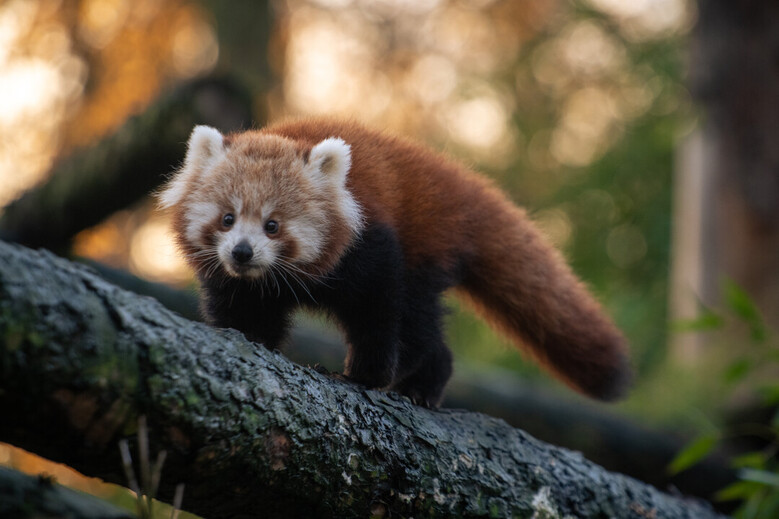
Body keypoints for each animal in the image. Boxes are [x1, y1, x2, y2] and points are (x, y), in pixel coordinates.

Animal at [160, 118, 632, 406]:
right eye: (228, 218)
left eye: (273, 225)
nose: (242, 252)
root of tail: (447, 176)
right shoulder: (234, 280)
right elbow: (240, 306)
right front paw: (248, 337)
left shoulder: (369, 246)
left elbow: (378, 309)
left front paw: (361, 376)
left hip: (425, 248)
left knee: (418, 321)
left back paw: (421, 382)